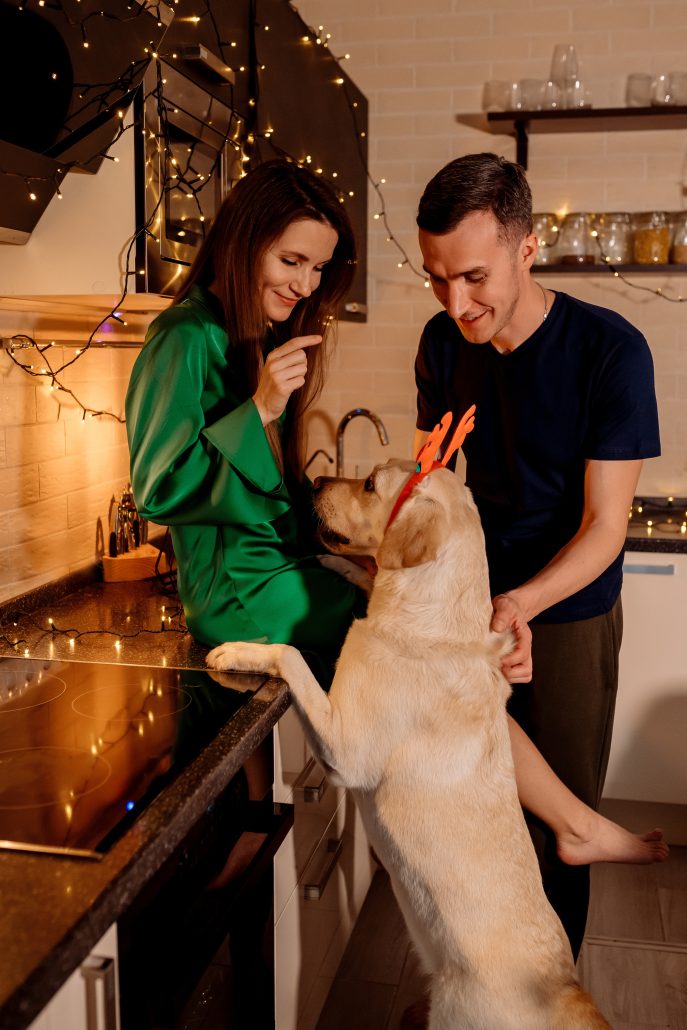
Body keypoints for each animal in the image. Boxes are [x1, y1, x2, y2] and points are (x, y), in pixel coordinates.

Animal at [205, 463, 613, 1025]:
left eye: (369, 483)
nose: (314, 480)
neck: (435, 619)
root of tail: (566, 988)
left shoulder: (344, 750)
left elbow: (291, 655)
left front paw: (236, 651)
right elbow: (367, 574)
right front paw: (335, 562)